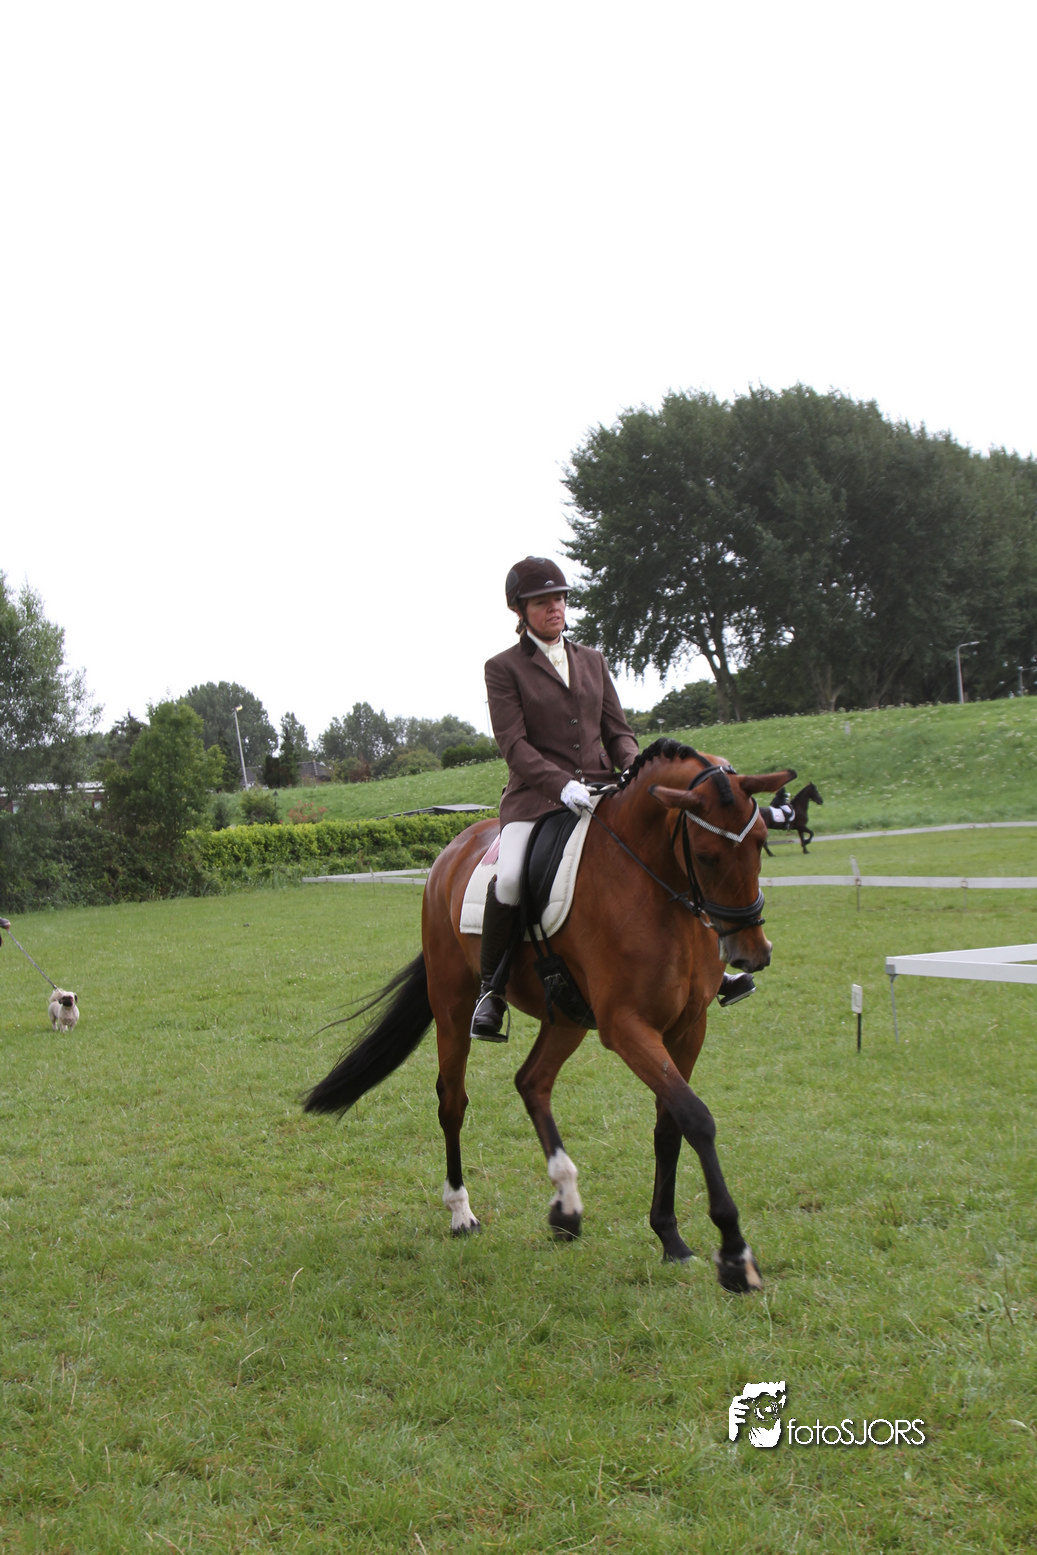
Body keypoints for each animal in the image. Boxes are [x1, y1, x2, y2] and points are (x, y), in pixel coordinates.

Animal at [304, 739, 796, 1292]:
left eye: (762, 842)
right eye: (708, 855)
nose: (753, 954)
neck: (651, 883)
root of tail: (452, 850)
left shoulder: (688, 1028)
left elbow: (671, 1124)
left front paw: (671, 1238)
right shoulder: (626, 1027)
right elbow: (697, 1118)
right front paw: (734, 1255)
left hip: (566, 1017)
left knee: (532, 1082)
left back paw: (566, 1207)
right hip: (453, 1006)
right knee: (452, 1101)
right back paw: (462, 1212)